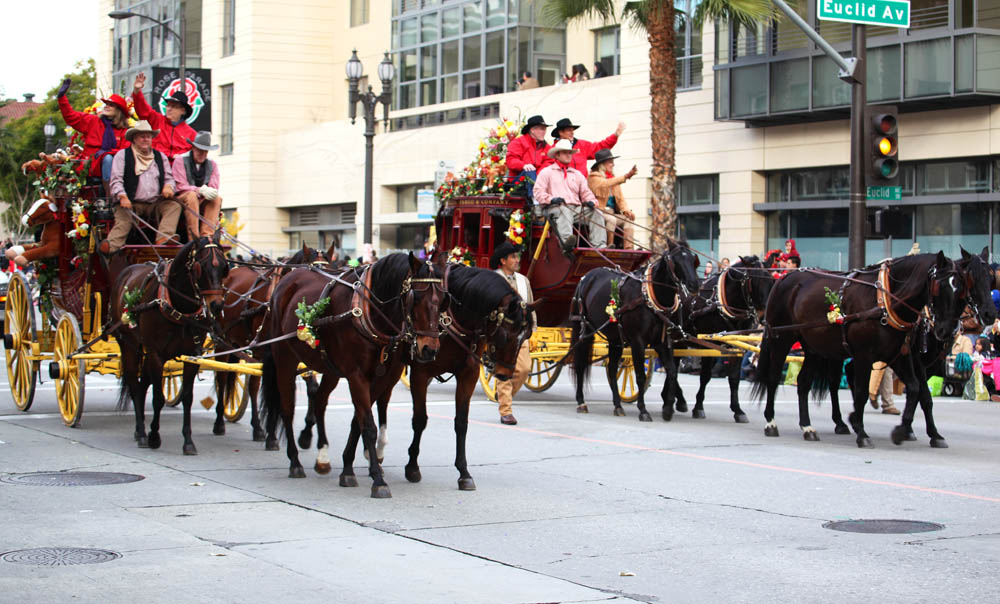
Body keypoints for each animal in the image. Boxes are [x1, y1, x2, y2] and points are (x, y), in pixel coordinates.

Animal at [112, 232, 229, 452]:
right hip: (128, 344)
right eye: (200, 267)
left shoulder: (192, 355)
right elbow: (158, 398)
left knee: (142, 385)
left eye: (225, 267)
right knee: (134, 385)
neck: (179, 307)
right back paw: (142, 433)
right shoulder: (156, 354)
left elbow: (187, 397)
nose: (217, 305)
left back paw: (139, 430)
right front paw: (154, 437)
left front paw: (188, 441)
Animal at [258, 252, 446, 498]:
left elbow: (358, 421)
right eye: (415, 298)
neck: (370, 312)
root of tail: (288, 278)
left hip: (330, 368)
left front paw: (348, 468)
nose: (429, 349)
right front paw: (378, 480)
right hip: (285, 360)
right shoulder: (357, 376)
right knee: (287, 408)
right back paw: (295, 462)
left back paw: (322, 457)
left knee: (319, 401)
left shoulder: (381, 378)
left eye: (443, 299)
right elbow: (368, 425)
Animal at [572, 238, 704, 422]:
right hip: (584, 331)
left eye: (693, 260)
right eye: (675, 261)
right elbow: (640, 376)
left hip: (615, 339)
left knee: (611, 369)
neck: (651, 299)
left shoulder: (662, 343)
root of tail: (586, 276)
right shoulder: (638, 342)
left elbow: (671, 371)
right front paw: (643, 410)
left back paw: (618, 405)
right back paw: (581, 402)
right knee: (580, 364)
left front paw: (668, 409)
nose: (694, 284)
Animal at [672, 258, 772, 422]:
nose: (765, 317)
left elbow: (734, 378)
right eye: (753, 281)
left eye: (771, 280)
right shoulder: (709, 345)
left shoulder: (736, 346)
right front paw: (698, 407)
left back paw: (679, 399)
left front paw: (738, 410)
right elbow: (705, 376)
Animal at [752, 251, 964, 448]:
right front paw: (862, 432)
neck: (885, 301)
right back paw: (771, 422)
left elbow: (914, 388)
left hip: (812, 347)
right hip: (782, 339)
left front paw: (902, 430)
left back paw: (808, 427)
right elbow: (862, 391)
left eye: (961, 290)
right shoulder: (864, 356)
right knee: (773, 378)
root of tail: (784, 278)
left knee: (804, 382)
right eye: (940, 287)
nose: (946, 330)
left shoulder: (900, 355)